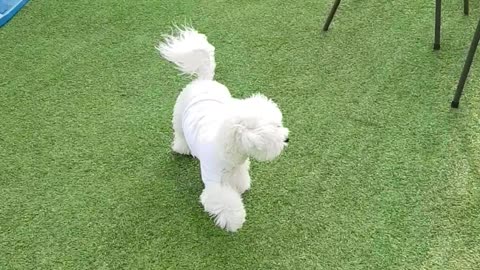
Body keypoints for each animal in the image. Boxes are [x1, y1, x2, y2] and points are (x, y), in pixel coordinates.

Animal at [158, 25, 288, 232]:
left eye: (279, 124)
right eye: (275, 129)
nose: (287, 138)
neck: (229, 148)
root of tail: (203, 79)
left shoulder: (237, 168)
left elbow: (239, 181)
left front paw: (241, 188)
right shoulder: (214, 182)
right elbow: (225, 201)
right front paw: (235, 221)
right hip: (178, 116)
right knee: (179, 133)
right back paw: (182, 148)